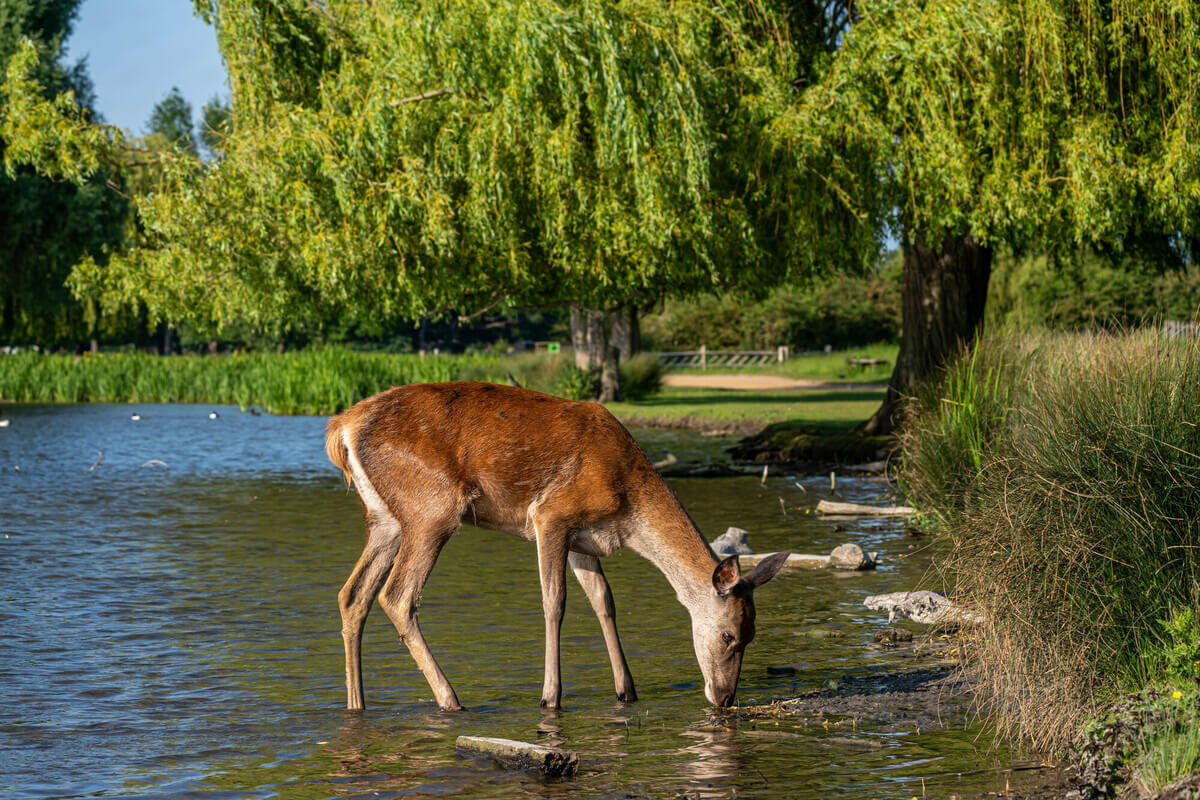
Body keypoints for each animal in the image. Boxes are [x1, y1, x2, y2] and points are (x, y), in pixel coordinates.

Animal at [325, 381, 790, 712]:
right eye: (729, 634)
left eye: (752, 634)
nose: (725, 698)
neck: (628, 506)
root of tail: (340, 428)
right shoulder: (551, 514)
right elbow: (555, 601)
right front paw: (551, 696)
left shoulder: (585, 538)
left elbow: (604, 600)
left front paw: (626, 689)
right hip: (432, 508)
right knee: (397, 595)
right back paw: (450, 699)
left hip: (385, 519)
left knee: (352, 594)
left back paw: (356, 703)